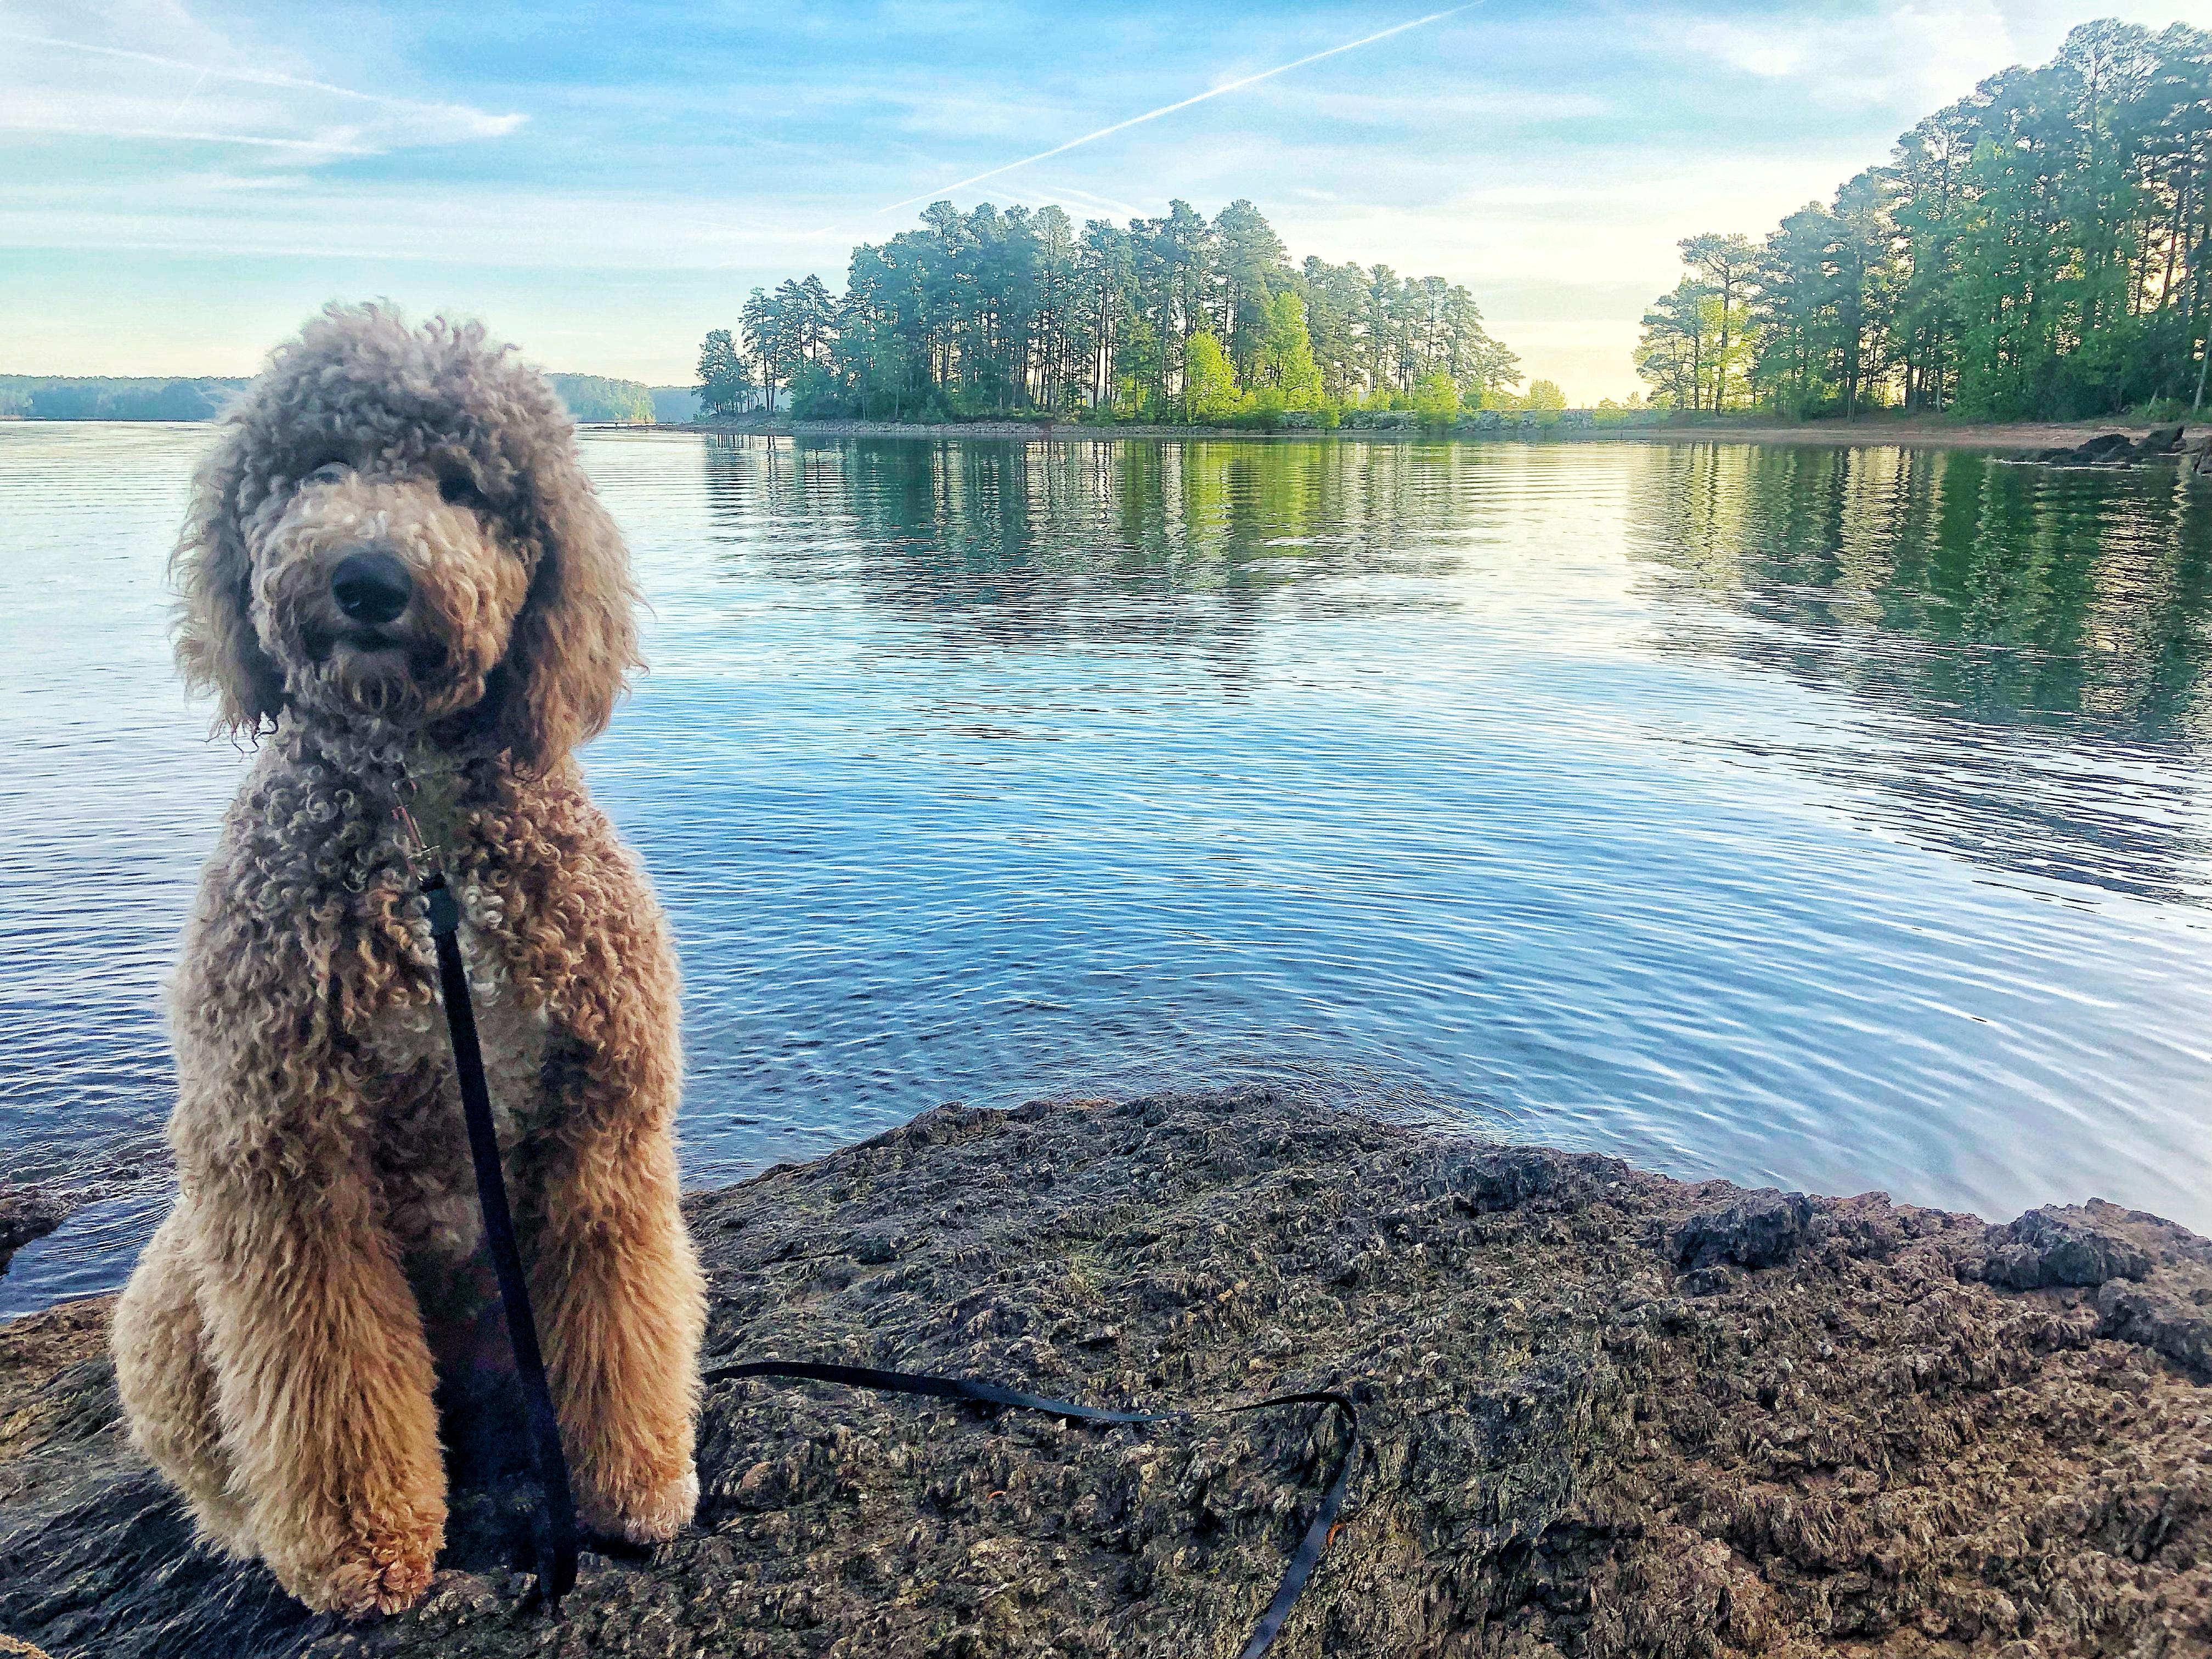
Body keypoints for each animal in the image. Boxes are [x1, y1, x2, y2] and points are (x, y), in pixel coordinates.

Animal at [111, 305, 705, 1617]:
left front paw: (633, 1484)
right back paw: (255, 1530)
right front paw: (358, 1543)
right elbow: (324, 1375)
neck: (423, 836)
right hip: (178, 1275)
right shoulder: (284, 1156)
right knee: (218, 1459)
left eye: (464, 487)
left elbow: (623, 1324)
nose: (369, 579)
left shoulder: (600, 1133)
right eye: (318, 466)